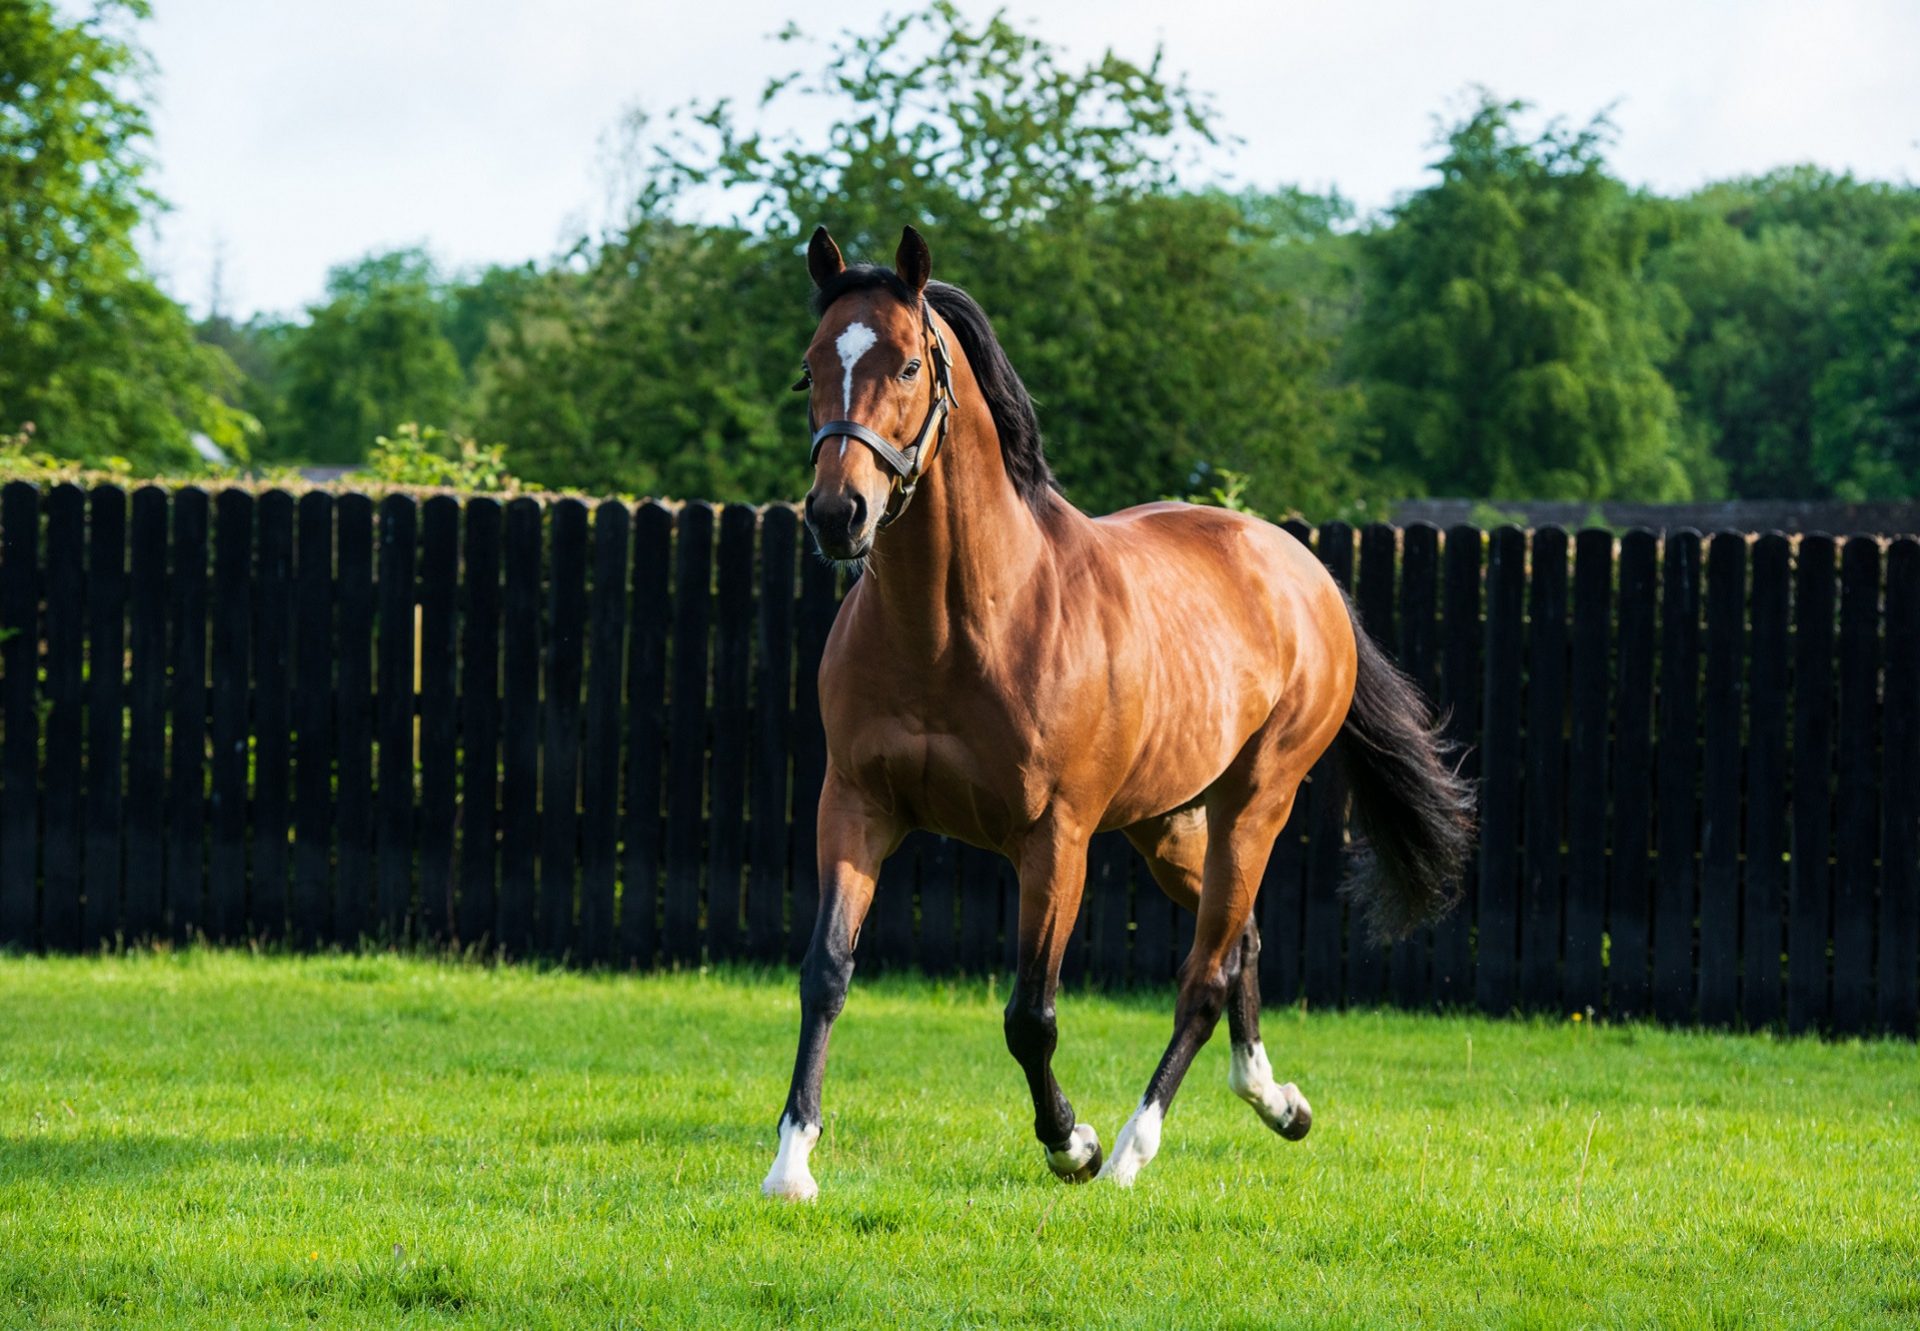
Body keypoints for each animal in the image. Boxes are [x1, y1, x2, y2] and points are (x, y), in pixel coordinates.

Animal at [760, 222, 1466, 1198]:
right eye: (809, 367)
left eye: (906, 364)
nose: (839, 513)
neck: (959, 624)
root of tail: (1306, 574)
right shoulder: (856, 807)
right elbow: (826, 971)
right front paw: (792, 1162)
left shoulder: (1054, 840)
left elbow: (1031, 1014)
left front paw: (1074, 1144)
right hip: (1165, 823)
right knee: (1240, 941)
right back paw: (1277, 1101)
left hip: (1255, 805)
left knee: (1204, 973)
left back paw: (1136, 1145)